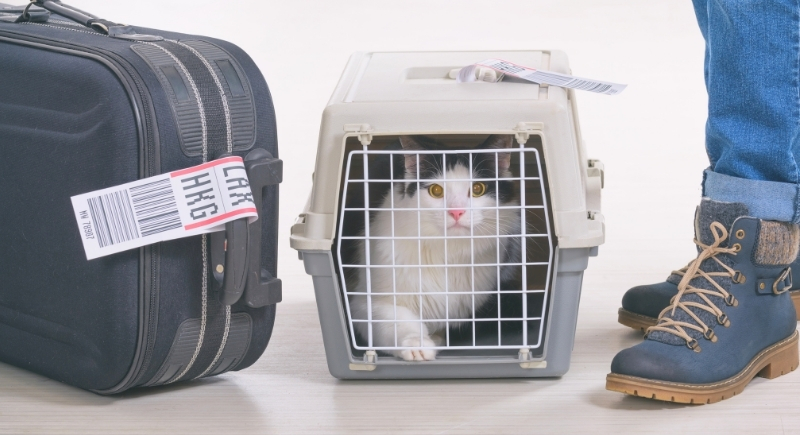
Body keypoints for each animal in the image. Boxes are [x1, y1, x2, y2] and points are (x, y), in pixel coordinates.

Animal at [348, 135, 521, 361]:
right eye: (436, 191)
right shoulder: (366, 303)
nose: (456, 212)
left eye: (477, 189)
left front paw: (437, 339)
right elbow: (398, 321)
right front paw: (418, 345)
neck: (448, 253)